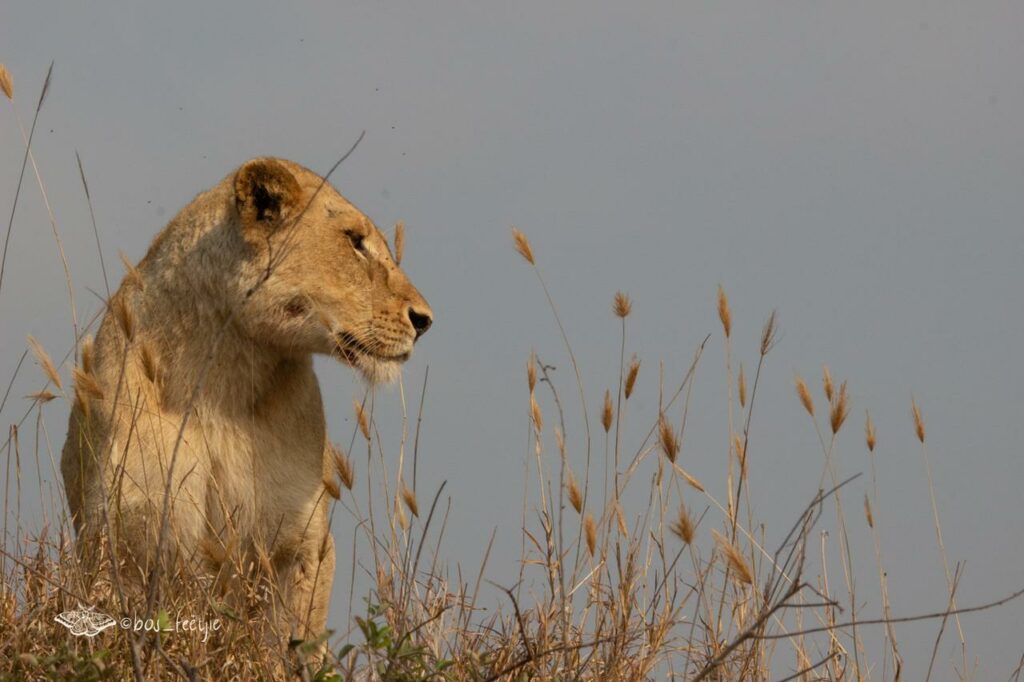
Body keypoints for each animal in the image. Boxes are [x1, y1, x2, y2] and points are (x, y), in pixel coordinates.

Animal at [60, 157, 432, 642]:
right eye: (355, 242)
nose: (425, 320)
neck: (223, 380)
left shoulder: (302, 544)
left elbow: (288, 641)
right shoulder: (121, 532)